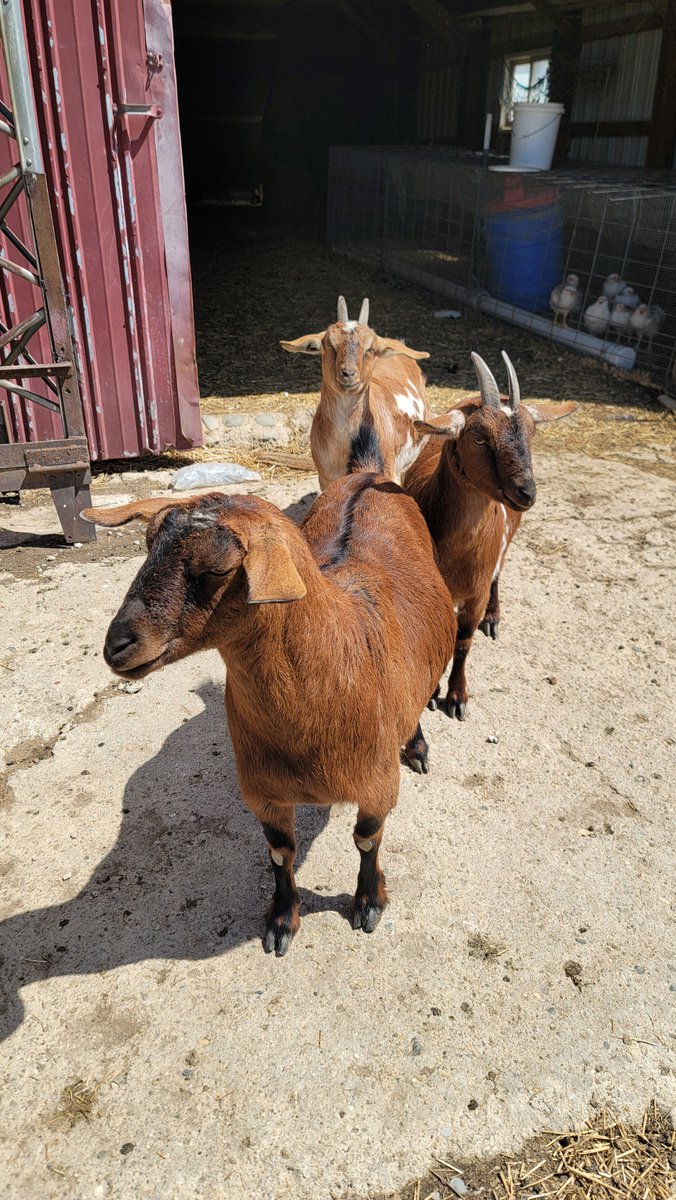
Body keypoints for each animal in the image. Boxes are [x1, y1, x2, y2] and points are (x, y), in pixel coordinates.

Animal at [84, 471, 455, 956]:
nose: (117, 646)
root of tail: (368, 475)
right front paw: (281, 920)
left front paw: (369, 902)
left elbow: (367, 838)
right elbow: (280, 852)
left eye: (217, 569)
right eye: (147, 546)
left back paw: (415, 746)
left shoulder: (377, 782)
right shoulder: (261, 789)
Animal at [404, 351, 576, 720]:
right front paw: (434, 692)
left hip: (506, 546)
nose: (526, 492)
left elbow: (463, 642)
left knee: (499, 572)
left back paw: (494, 618)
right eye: (480, 437)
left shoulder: (476, 592)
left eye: (531, 434)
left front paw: (457, 697)